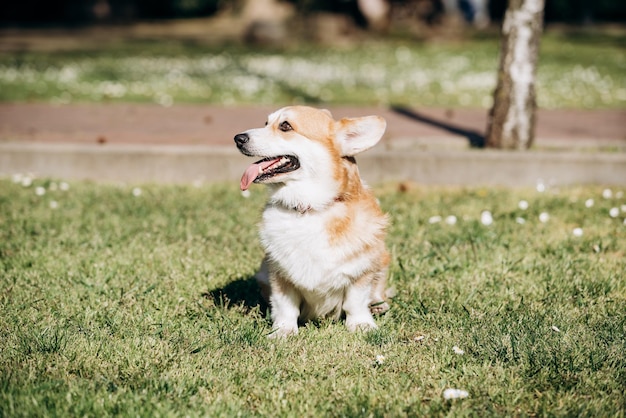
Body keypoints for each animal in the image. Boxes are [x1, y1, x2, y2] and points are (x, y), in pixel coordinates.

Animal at [235, 107, 390, 336]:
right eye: (266, 123)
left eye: (285, 126)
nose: (238, 138)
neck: (308, 208)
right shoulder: (279, 274)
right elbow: (285, 306)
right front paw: (283, 331)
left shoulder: (361, 270)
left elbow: (355, 302)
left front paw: (361, 324)